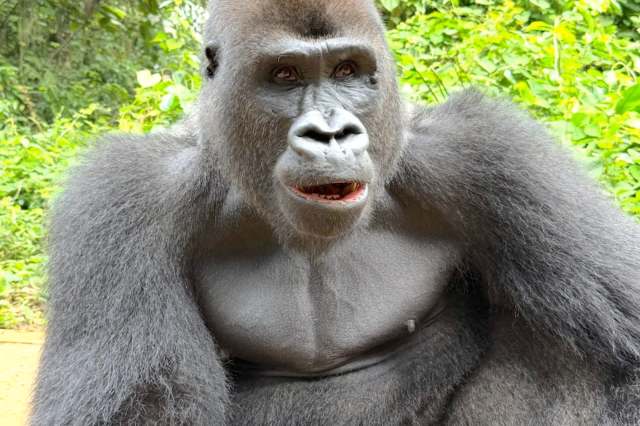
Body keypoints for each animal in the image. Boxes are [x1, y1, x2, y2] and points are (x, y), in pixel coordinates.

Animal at [31, 0, 640, 424]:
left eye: (347, 70)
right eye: (285, 76)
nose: (331, 133)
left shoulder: (488, 155)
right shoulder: (128, 197)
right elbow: (140, 404)